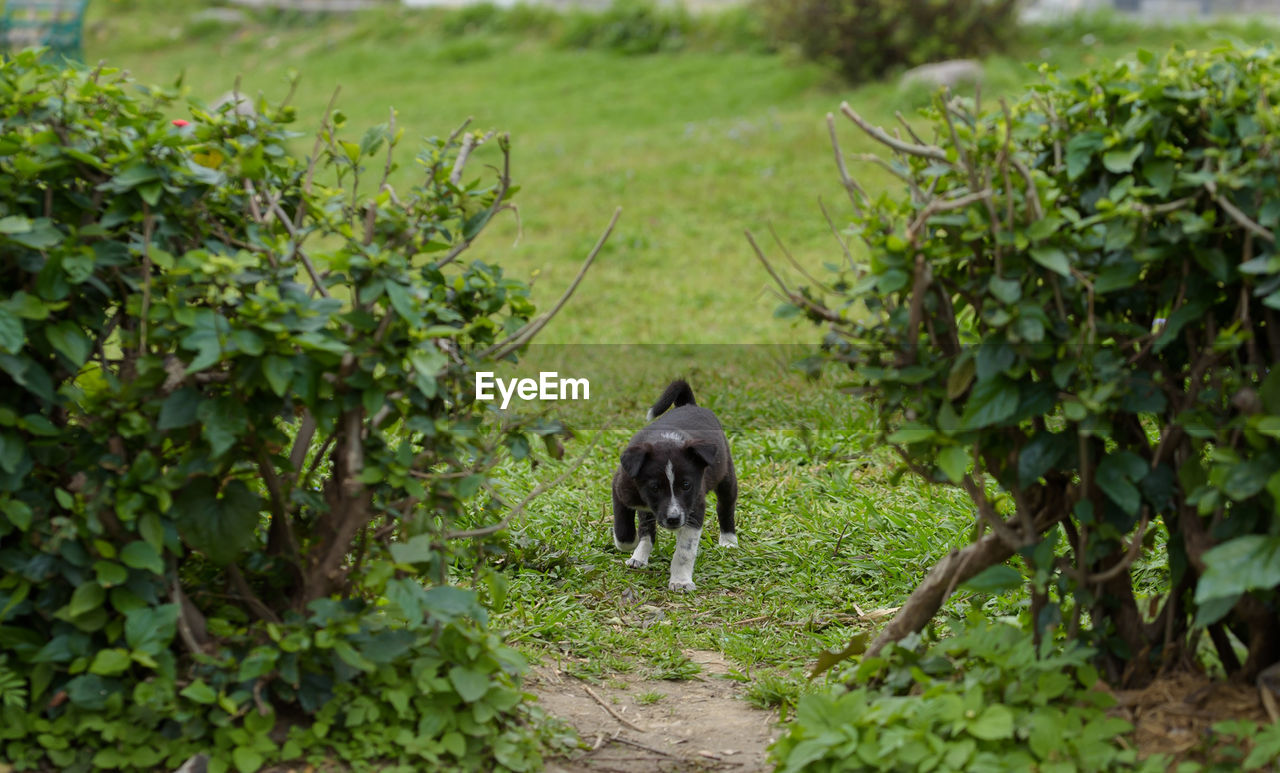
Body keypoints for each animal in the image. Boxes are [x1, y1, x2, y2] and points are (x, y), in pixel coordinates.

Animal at [611, 381, 742, 591]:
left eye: (686, 485)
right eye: (654, 487)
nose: (673, 519)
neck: (666, 439)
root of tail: (689, 405)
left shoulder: (694, 509)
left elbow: (684, 552)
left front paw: (680, 581)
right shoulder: (621, 489)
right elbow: (624, 532)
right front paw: (631, 544)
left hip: (727, 477)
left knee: (725, 508)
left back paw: (728, 540)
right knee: (647, 529)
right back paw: (640, 555)